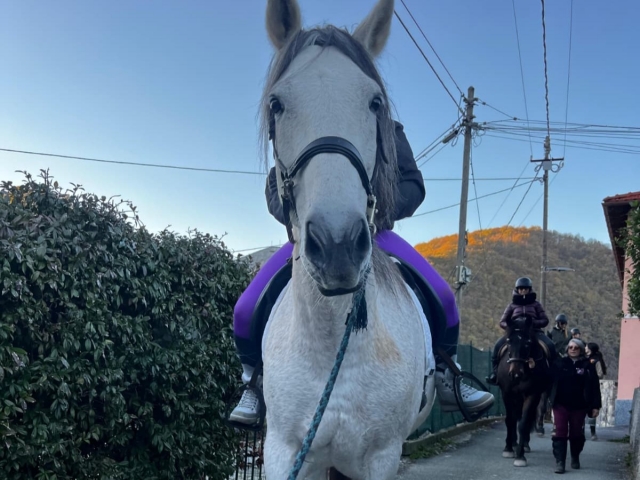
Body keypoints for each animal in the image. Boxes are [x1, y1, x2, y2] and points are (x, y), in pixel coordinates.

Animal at [495, 316, 549, 467]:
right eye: (509, 341)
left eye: (528, 343)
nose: (515, 373)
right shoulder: (507, 394)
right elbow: (510, 420)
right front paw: (508, 449)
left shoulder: (533, 395)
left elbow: (524, 423)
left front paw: (520, 456)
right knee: (514, 418)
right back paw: (513, 443)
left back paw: (523, 444)